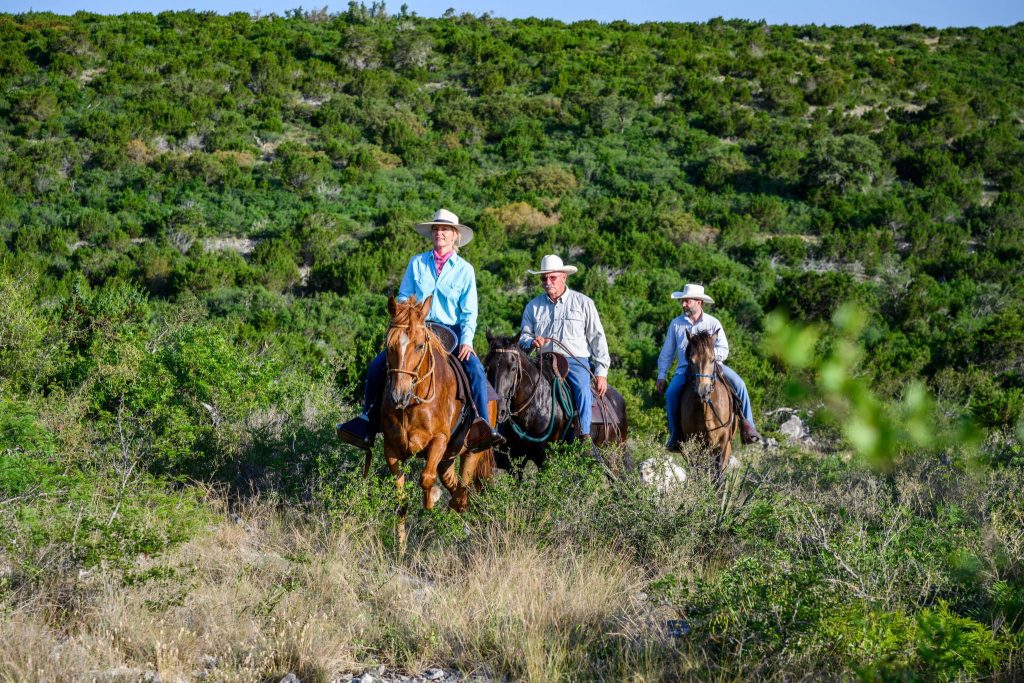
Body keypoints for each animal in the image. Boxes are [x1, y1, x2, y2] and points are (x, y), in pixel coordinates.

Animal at [382, 294, 497, 518]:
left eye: (420, 346)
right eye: (389, 345)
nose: (399, 395)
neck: (412, 405)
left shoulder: (439, 440)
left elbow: (426, 478)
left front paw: (432, 497)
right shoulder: (390, 448)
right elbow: (401, 501)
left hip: (472, 451)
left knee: (463, 485)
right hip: (449, 456)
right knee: (454, 485)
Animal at [483, 333, 626, 473]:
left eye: (513, 368)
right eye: (486, 367)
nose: (499, 410)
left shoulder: (545, 460)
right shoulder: (514, 461)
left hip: (614, 457)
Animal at [679, 327, 737, 479]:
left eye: (712, 360)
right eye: (691, 360)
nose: (703, 392)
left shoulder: (722, 443)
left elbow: (718, 474)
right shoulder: (693, 444)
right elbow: (697, 471)